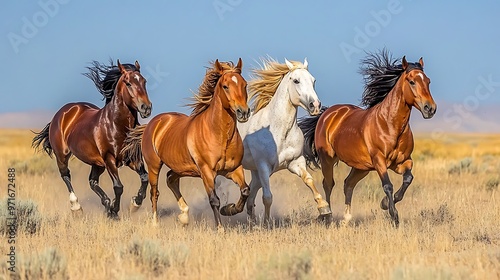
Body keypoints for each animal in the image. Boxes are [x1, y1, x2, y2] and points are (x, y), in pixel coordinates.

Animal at [32, 60, 151, 219]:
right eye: (128, 83)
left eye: (144, 81)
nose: (146, 108)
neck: (115, 125)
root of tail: (63, 112)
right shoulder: (109, 159)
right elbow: (118, 187)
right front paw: (115, 211)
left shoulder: (132, 158)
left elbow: (144, 178)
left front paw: (134, 204)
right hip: (62, 155)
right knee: (66, 176)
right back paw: (77, 207)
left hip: (97, 163)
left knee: (92, 181)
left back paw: (106, 203)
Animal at [122, 58, 250, 230]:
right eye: (225, 86)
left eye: (244, 85)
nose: (243, 112)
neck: (220, 135)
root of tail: (153, 123)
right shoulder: (207, 172)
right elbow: (214, 200)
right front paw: (220, 229)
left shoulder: (234, 169)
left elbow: (245, 190)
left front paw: (229, 209)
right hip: (154, 166)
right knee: (154, 193)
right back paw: (155, 223)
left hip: (182, 167)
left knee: (170, 178)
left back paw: (184, 216)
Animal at [223, 58, 332, 224]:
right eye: (296, 80)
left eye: (313, 80)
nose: (315, 105)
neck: (279, 131)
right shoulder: (263, 167)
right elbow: (267, 197)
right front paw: (267, 223)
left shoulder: (295, 162)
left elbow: (309, 180)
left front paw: (324, 208)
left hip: (255, 172)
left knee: (250, 196)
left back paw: (249, 221)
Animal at [298, 50, 436, 226]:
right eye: (411, 81)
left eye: (428, 81)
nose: (430, 108)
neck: (390, 124)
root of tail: (328, 113)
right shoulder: (379, 161)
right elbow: (388, 185)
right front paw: (394, 215)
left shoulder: (403, 161)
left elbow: (408, 179)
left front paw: (385, 203)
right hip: (327, 159)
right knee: (328, 184)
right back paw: (327, 216)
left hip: (361, 167)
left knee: (348, 184)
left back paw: (346, 219)